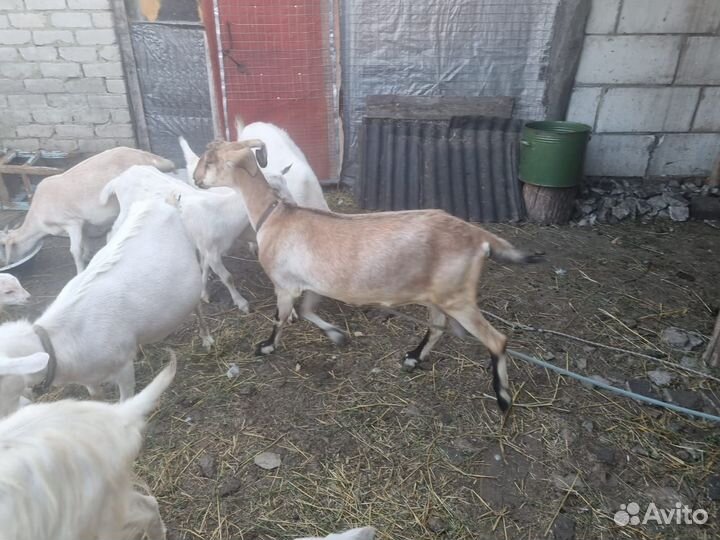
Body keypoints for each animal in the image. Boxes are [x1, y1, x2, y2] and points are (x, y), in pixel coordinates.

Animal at [0, 147, 175, 274]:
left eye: (2, 247)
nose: (4, 264)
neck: (38, 223)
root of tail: (146, 155)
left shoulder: (72, 222)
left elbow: (75, 250)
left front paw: (80, 271)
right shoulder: (82, 223)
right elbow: (85, 241)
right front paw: (88, 256)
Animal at [0, 198, 212, 417]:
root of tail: (157, 201)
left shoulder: (123, 368)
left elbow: (126, 400)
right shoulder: (87, 378)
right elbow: (96, 398)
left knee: (198, 307)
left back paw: (207, 339)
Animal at [194, 141, 542, 412]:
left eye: (210, 160)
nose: (196, 180)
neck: (275, 216)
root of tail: (478, 236)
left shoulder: (285, 284)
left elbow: (280, 318)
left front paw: (266, 347)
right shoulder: (315, 283)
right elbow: (307, 311)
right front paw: (337, 335)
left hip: (457, 296)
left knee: (497, 340)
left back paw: (503, 397)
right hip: (438, 294)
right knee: (438, 326)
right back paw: (413, 358)